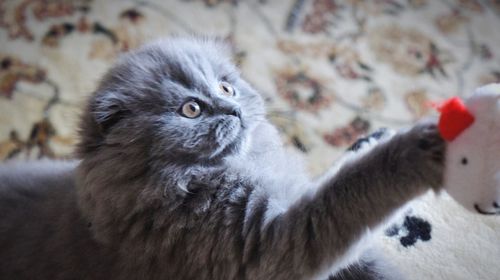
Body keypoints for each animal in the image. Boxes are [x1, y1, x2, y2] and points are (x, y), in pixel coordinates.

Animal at [0, 37, 444, 280]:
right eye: (191, 110)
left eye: (227, 88)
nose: (233, 110)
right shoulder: (267, 242)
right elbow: (351, 192)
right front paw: (423, 146)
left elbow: (370, 264)